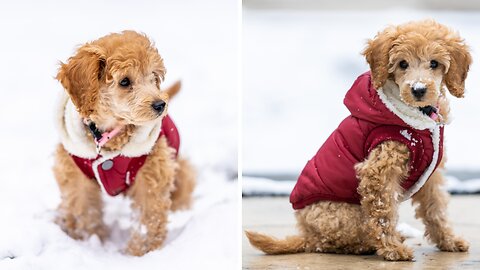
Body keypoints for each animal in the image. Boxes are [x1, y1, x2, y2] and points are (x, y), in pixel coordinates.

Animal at [53, 30, 195, 256]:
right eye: (125, 82)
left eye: (153, 77)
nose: (160, 104)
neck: (110, 135)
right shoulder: (76, 174)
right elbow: (84, 210)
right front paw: (89, 239)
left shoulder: (152, 172)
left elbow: (149, 217)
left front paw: (141, 252)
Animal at [248, 20, 472, 260]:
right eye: (402, 64)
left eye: (434, 63)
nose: (418, 89)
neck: (417, 121)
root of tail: (307, 234)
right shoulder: (379, 170)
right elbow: (383, 214)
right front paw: (393, 250)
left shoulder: (431, 176)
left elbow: (435, 209)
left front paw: (449, 241)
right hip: (345, 213)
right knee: (338, 240)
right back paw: (370, 244)